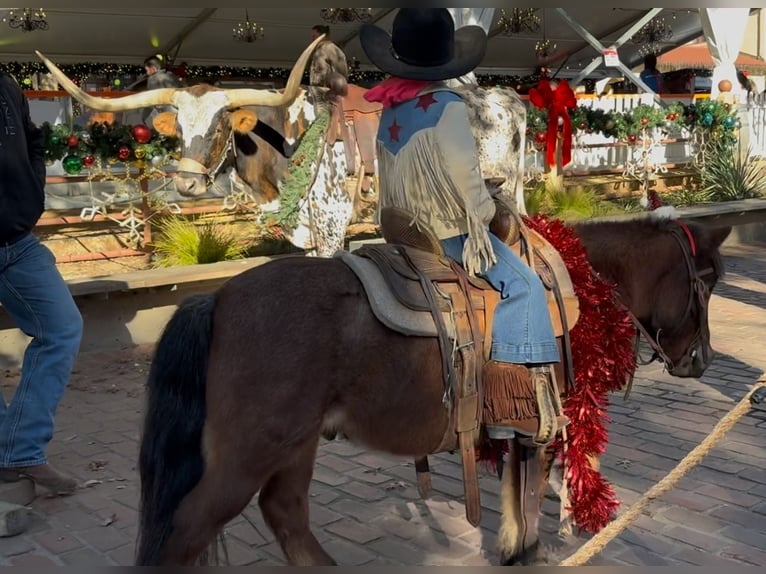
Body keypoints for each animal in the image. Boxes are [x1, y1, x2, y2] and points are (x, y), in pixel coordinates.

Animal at [136, 216, 732, 568]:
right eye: (706, 280)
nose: (701, 359)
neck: (577, 283)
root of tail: (216, 300)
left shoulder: (517, 426)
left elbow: (516, 490)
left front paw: (513, 548)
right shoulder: (543, 418)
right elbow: (531, 492)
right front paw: (528, 551)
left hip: (293, 444)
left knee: (287, 515)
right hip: (251, 452)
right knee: (189, 528)